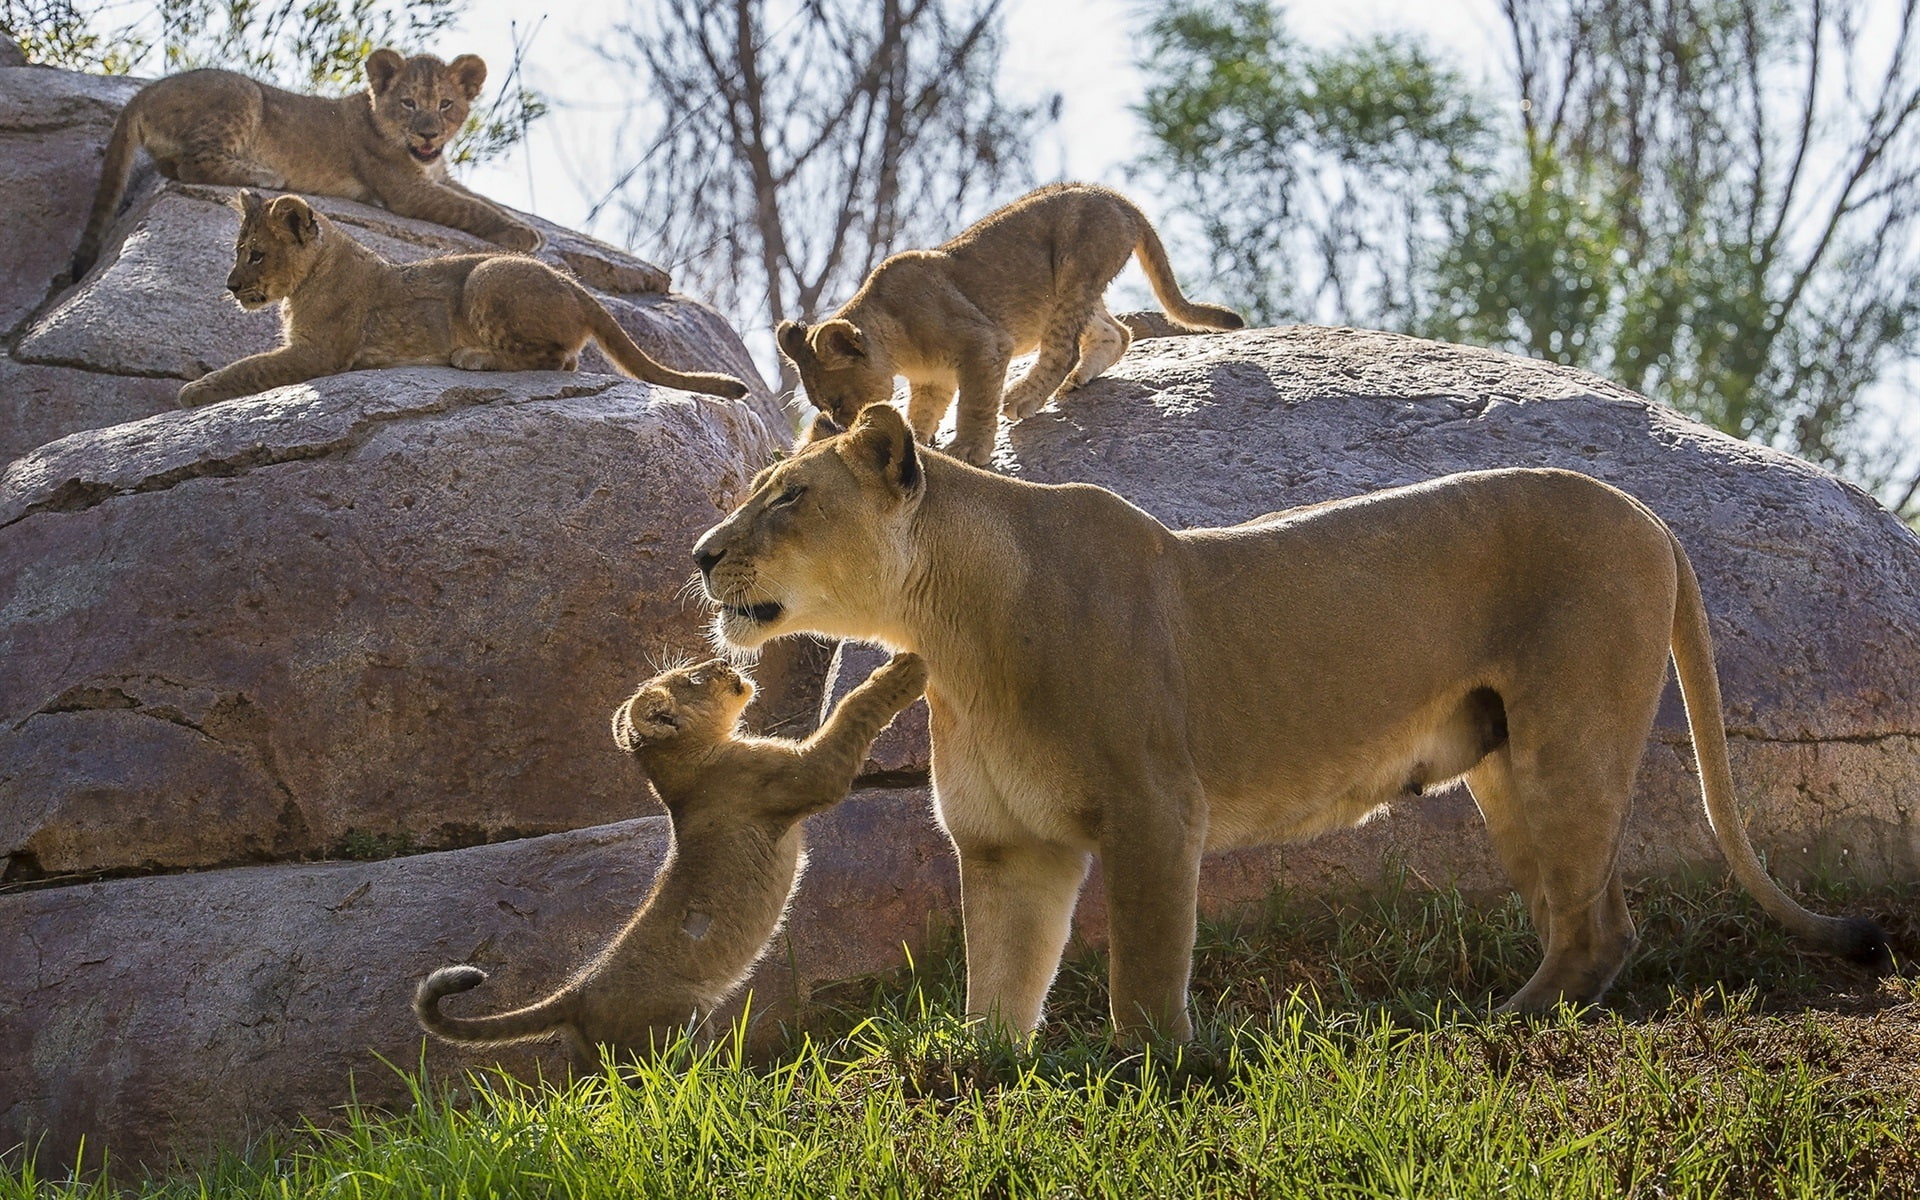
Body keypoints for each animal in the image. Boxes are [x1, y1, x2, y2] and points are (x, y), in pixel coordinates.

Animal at [70, 49, 544, 279]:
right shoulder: (405, 191)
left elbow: (481, 198)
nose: (429, 134)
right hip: (245, 93)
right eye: (409, 103)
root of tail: (144, 92)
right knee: (189, 164)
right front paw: (523, 235)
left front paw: (523, 223)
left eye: (446, 104)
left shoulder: (439, 174)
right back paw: (266, 173)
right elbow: (469, 207)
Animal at [178, 190, 747, 406]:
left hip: (485, 276)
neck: (315, 270)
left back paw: (472, 357)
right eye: (239, 251)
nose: (230, 286)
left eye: (256, 255)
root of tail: (581, 289)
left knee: (557, 360)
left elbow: (249, 368)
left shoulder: (319, 353)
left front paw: (191, 392)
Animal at [415, 652, 928, 1067]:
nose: (723, 662)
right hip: (681, 1026)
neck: (684, 771)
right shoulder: (801, 775)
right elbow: (851, 712)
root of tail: (579, 992)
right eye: (695, 678)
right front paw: (904, 671)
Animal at [691, 403, 1888, 1041]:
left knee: (1596, 923)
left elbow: (1144, 973)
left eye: (788, 497)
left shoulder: (1154, 809)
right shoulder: (1006, 847)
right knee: (1596, 911)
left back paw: (1498, 1028)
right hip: (1505, 766)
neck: (951, 636)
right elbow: (1001, 990)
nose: (701, 553)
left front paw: (1146, 1071)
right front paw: (984, 1081)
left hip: (1570, 740)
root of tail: (1655, 518)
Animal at [775, 183, 1244, 467]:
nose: (839, 430)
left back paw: (1025, 397)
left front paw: (968, 449)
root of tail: (1117, 196)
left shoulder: (984, 343)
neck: (897, 346)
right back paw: (1077, 381)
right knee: (1117, 333)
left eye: (838, 403)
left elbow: (975, 402)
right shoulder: (932, 381)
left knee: (1063, 348)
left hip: (1075, 263)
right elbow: (922, 412)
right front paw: (917, 443)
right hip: (1073, 288)